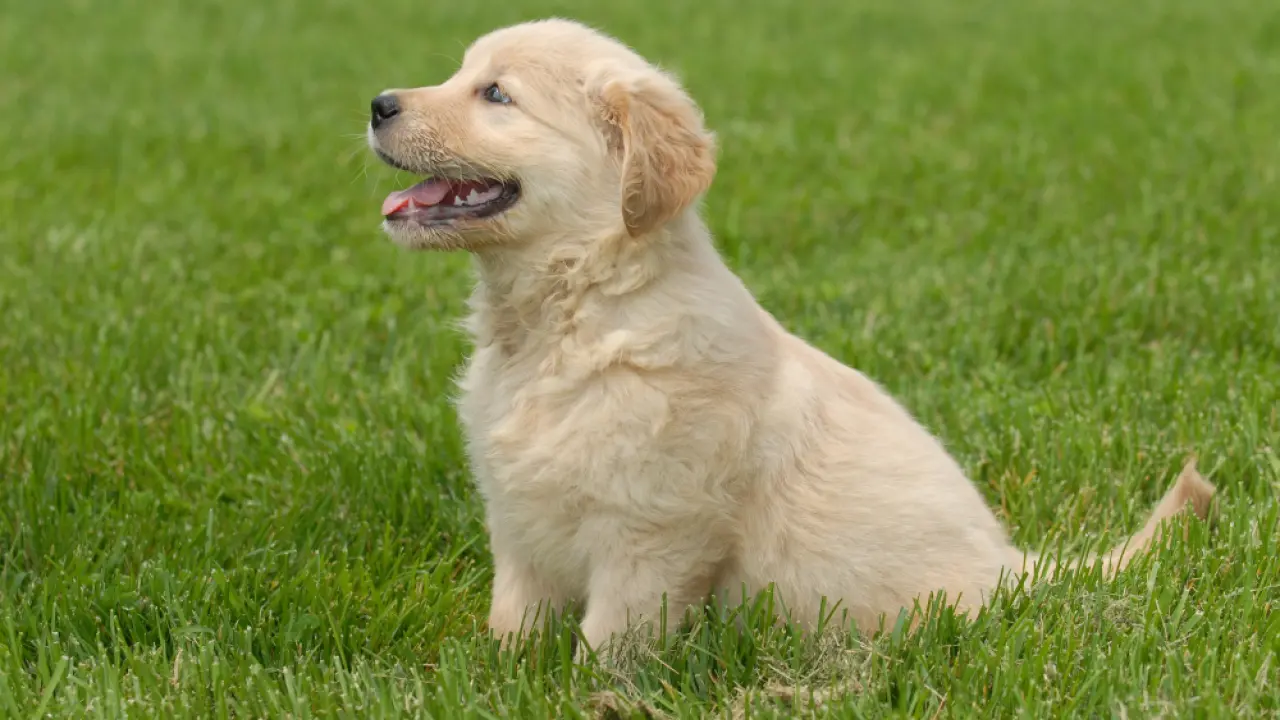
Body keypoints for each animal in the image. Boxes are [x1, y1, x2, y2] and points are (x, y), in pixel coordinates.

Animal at [365, 18, 1217, 657]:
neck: (571, 312)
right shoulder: (518, 521)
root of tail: (1016, 568)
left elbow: (607, 641)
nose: (377, 102)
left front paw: (585, 695)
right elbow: (512, 622)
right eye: (463, 72)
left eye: (496, 94)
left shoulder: (653, 531)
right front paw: (499, 672)